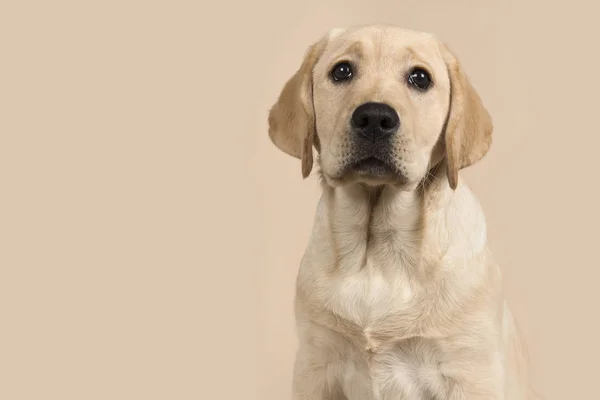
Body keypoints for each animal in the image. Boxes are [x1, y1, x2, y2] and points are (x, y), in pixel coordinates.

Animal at [270, 25, 536, 400]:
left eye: (420, 78)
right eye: (341, 71)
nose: (374, 118)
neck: (377, 251)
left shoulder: (470, 371)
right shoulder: (315, 365)